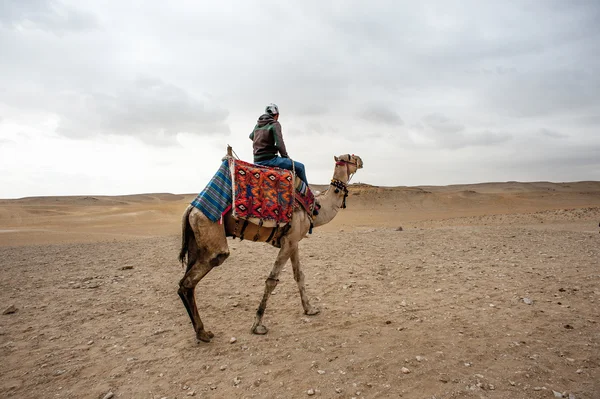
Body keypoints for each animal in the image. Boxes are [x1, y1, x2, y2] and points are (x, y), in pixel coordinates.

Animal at [176, 152, 364, 342]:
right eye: (350, 157)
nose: (361, 160)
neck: (316, 208)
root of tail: (190, 209)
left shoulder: (293, 241)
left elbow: (299, 276)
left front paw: (310, 309)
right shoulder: (290, 241)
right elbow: (271, 281)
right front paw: (257, 325)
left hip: (195, 242)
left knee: (185, 282)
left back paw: (201, 332)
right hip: (212, 236)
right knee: (190, 280)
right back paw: (202, 333)